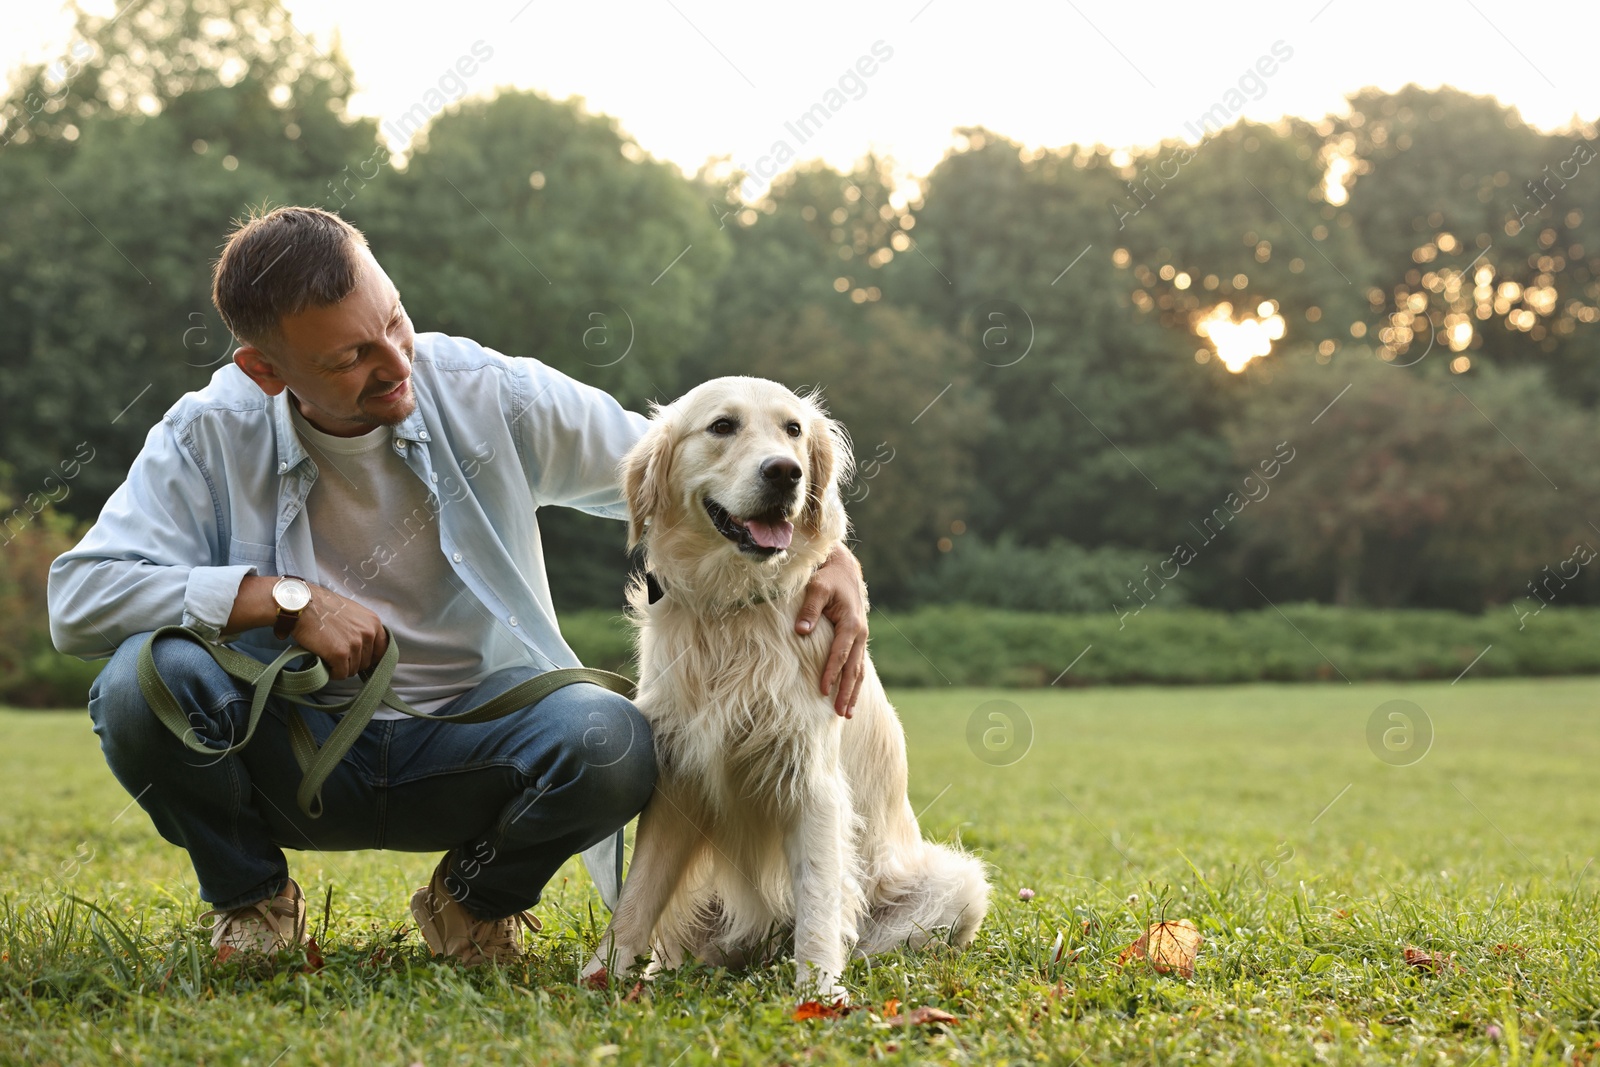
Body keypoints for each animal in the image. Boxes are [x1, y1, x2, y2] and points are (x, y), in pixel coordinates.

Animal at [582, 375, 992, 1004]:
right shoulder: (677, 774)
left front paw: (819, 997)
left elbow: (819, 904)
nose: (784, 472)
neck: (733, 611)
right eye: (722, 426)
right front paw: (602, 974)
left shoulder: (812, 780)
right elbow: (638, 894)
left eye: (793, 430)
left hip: (957, 884)